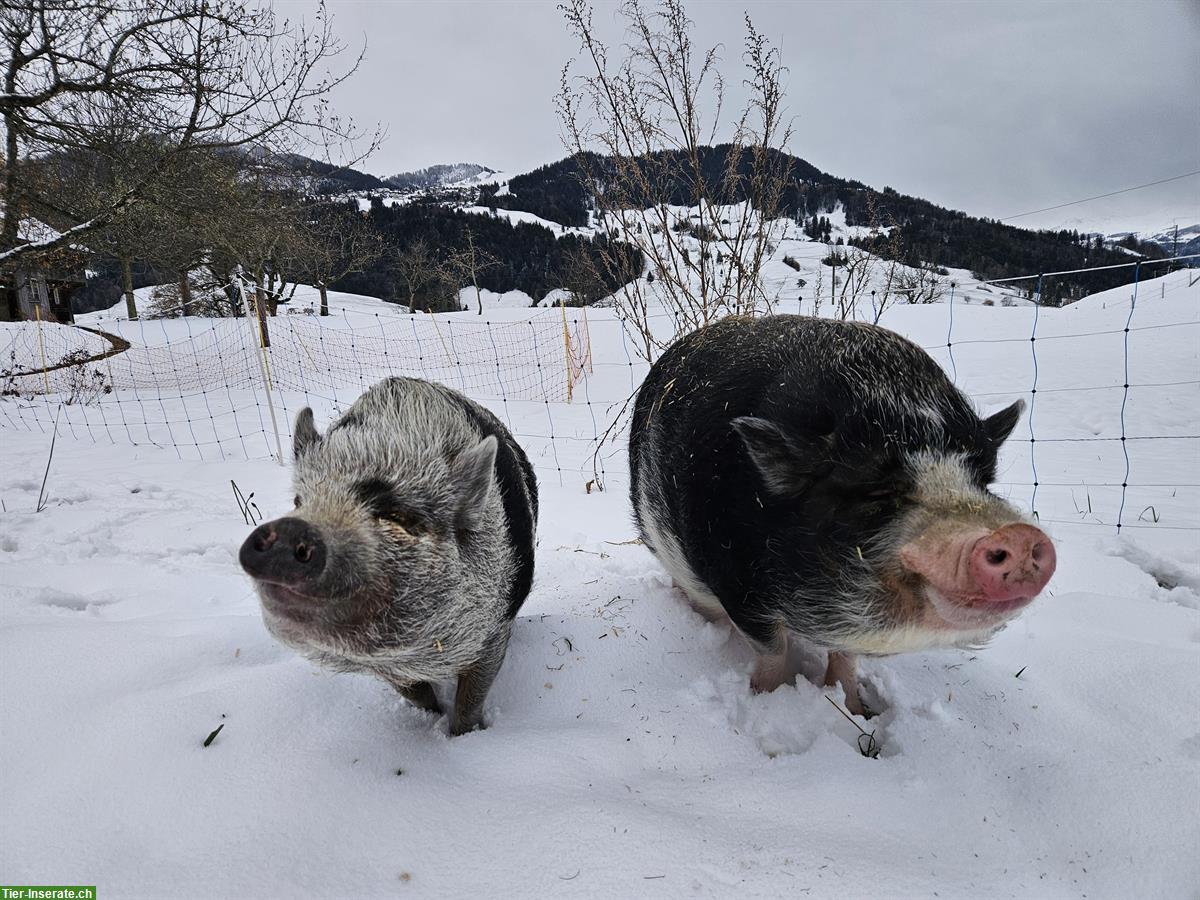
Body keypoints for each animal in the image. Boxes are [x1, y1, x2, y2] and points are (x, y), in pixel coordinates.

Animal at [236, 376, 537, 734]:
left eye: (397, 515)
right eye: (299, 501)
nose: (287, 527)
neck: (418, 654)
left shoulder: (493, 629)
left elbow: (472, 696)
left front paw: (462, 736)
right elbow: (414, 692)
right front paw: (429, 716)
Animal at [633, 316, 1056, 720]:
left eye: (983, 480)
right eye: (878, 491)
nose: (1017, 535)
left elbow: (846, 659)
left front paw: (857, 712)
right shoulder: (738, 585)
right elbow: (773, 651)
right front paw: (769, 701)